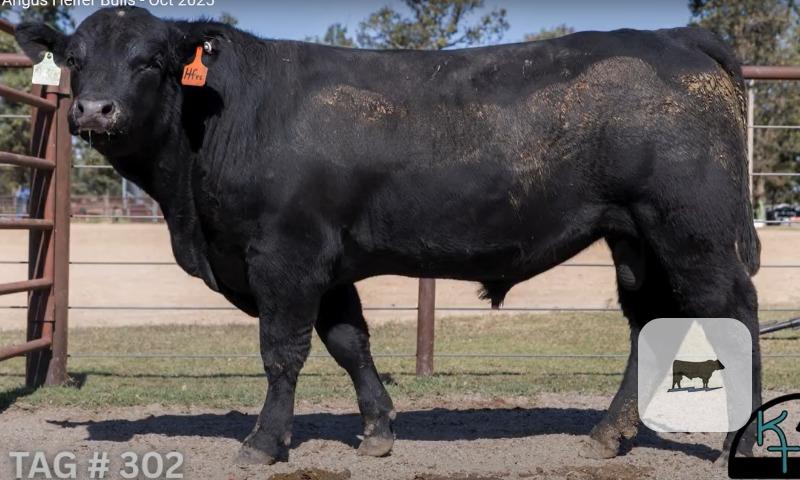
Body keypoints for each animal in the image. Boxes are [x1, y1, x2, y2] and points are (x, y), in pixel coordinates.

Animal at [16, 6, 762, 464]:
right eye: (75, 57)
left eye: (150, 59)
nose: (94, 110)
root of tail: (674, 36)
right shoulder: (329, 264)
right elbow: (349, 343)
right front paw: (377, 431)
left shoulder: (284, 255)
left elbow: (282, 352)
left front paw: (264, 441)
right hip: (636, 240)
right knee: (649, 324)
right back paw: (607, 435)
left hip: (693, 232)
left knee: (734, 314)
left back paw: (743, 442)